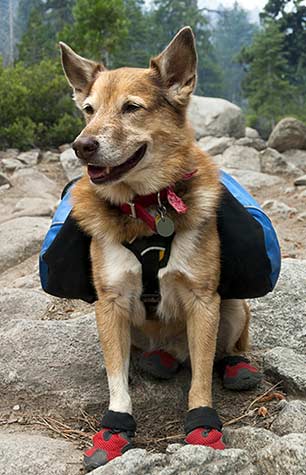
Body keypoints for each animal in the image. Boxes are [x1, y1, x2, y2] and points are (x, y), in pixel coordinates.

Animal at [59, 27, 260, 470]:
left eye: (131, 108)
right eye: (88, 110)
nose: (82, 145)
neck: (147, 210)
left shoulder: (204, 301)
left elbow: (201, 377)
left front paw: (203, 426)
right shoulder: (110, 304)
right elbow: (116, 379)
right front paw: (115, 429)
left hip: (233, 306)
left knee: (227, 349)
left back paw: (236, 366)